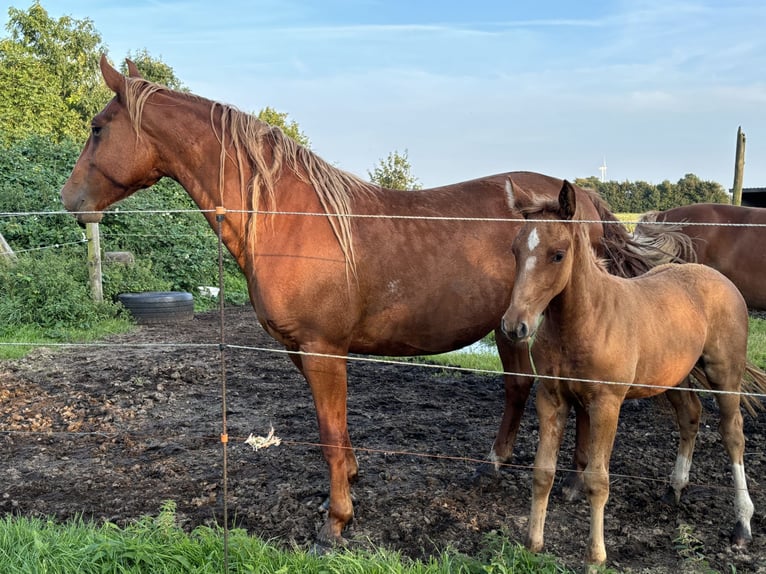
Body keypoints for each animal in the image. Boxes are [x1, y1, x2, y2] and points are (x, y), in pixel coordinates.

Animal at [61, 57, 656, 548]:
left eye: (97, 127)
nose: (70, 201)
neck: (286, 216)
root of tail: (582, 200)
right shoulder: (306, 352)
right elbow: (339, 431)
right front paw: (345, 485)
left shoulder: (323, 349)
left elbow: (328, 434)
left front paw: (336, 522)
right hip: (512, 327)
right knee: (521, 388)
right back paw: (500, 466)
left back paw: (569, 480)